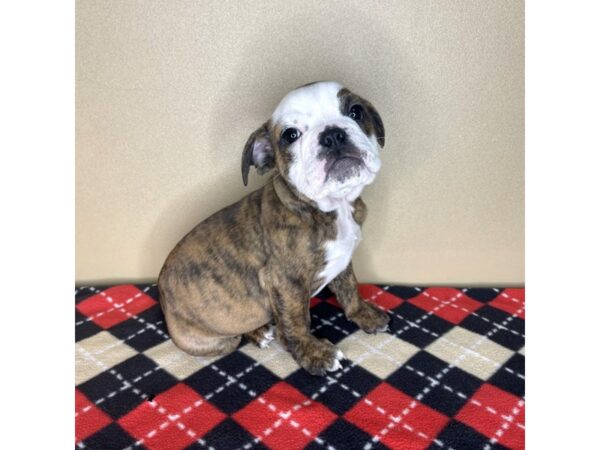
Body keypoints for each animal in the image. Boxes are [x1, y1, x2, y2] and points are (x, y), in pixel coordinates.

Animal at [157, 81, 390, 376]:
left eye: (356, 111)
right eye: (290, 135)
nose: (333, 135)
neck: (332, 208)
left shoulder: (343, 262)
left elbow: (349, 288)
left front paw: (363, 314)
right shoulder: (284, 282)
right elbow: (296, 322)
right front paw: (314, 353)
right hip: (217, 340)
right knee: (236, 334)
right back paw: (258, 333)